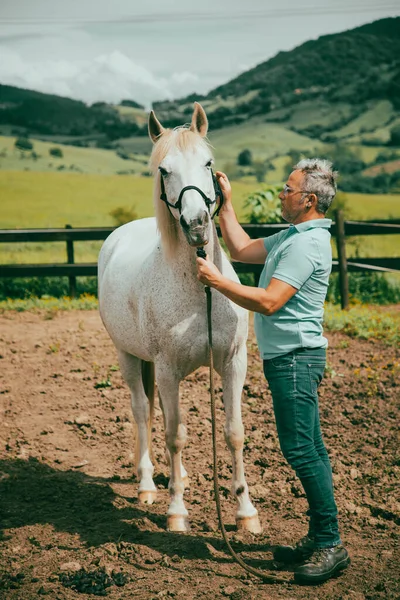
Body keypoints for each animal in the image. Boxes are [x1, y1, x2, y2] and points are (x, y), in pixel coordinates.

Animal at [98, 103, 260, 536]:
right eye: (164, 170)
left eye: (208, 163)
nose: (197, 224)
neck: (198, 291)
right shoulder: (167, 368)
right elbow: (174, 436)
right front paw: (176, 511)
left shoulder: (233, 362)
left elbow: (234, 433)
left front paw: (246, 512)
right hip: (129, 357)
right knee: (143, 411)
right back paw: (147, 484)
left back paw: (179, 476)